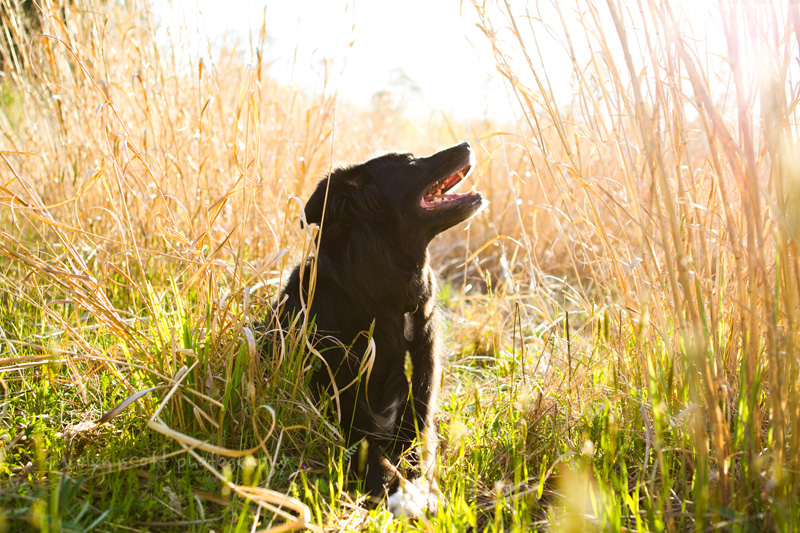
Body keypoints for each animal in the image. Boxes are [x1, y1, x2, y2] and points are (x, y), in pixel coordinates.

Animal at [276, 142, 484, 516]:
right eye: (411, 161)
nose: (466, 145)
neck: (388, 304)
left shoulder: (421, 411)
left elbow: (420, 455)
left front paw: (424, 490)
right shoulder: (339, 418)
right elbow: (373, 456)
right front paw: (401, 493)